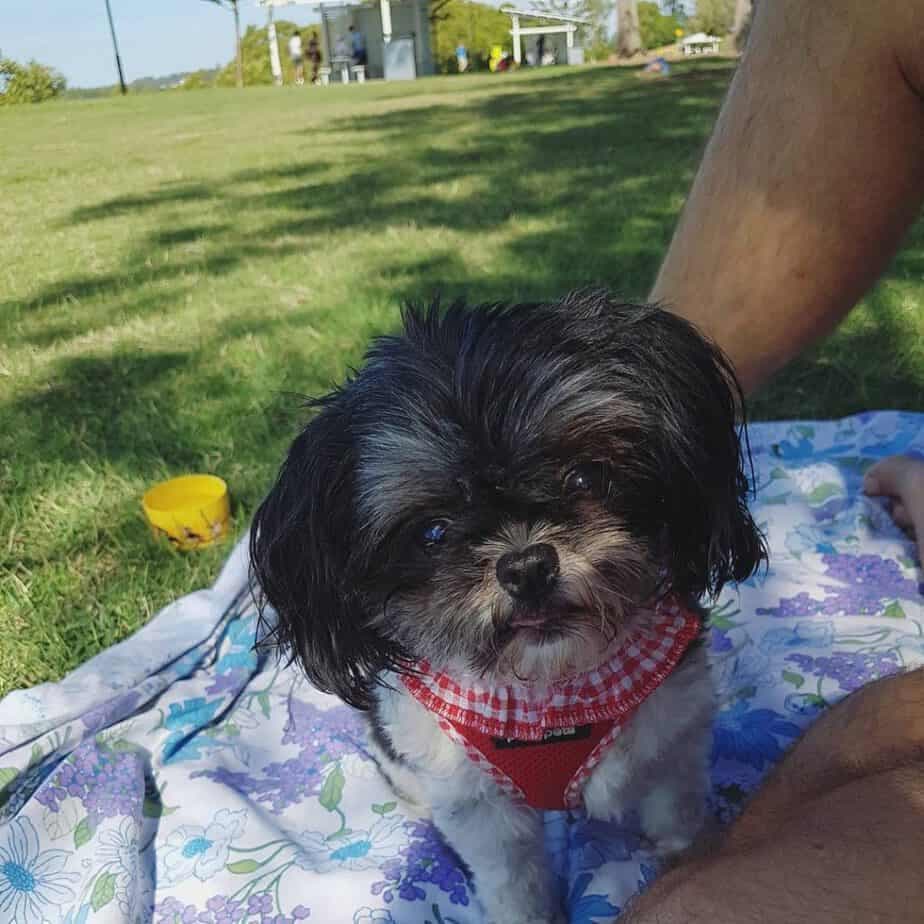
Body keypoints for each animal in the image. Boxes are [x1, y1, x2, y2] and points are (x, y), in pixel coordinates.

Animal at [251, 294, 764, 924]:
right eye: (432, 532)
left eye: (586, 475)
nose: (527, 566)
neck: (553, 690)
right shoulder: (479, 805)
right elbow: (514, 884)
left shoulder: (672, 743)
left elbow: (679, 823)